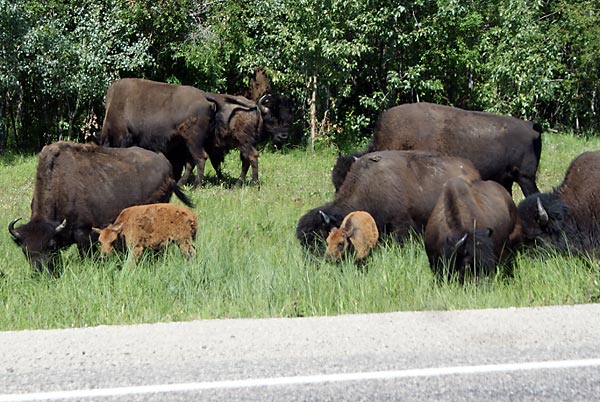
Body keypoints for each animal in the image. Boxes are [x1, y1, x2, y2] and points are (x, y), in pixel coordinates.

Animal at [7, 141, 192, 274]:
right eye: (25, 250)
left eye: (51, 246)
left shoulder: (83, 233)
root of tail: (166, 166)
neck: (60, 184)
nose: (41, 272)